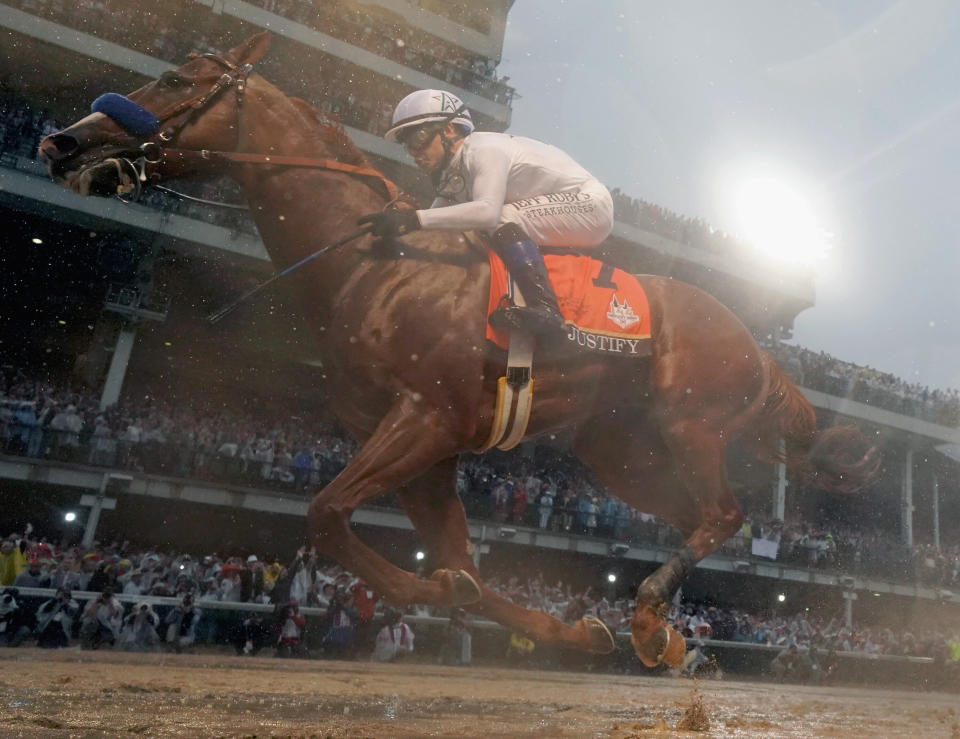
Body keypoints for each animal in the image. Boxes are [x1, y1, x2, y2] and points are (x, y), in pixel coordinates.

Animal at [39, 34, 876, 668]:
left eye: (179, 79)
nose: (63, 141)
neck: (374, 265)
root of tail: (756, 342)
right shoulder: (425, 452)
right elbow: (457, 561)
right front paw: (571, 627)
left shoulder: (425, 418)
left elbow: (330, 516)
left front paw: (446, 596)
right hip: (618, 452)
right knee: (697, 514)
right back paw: (657, 630)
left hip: (690, 422)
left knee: (725, 511)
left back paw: (644, 613)